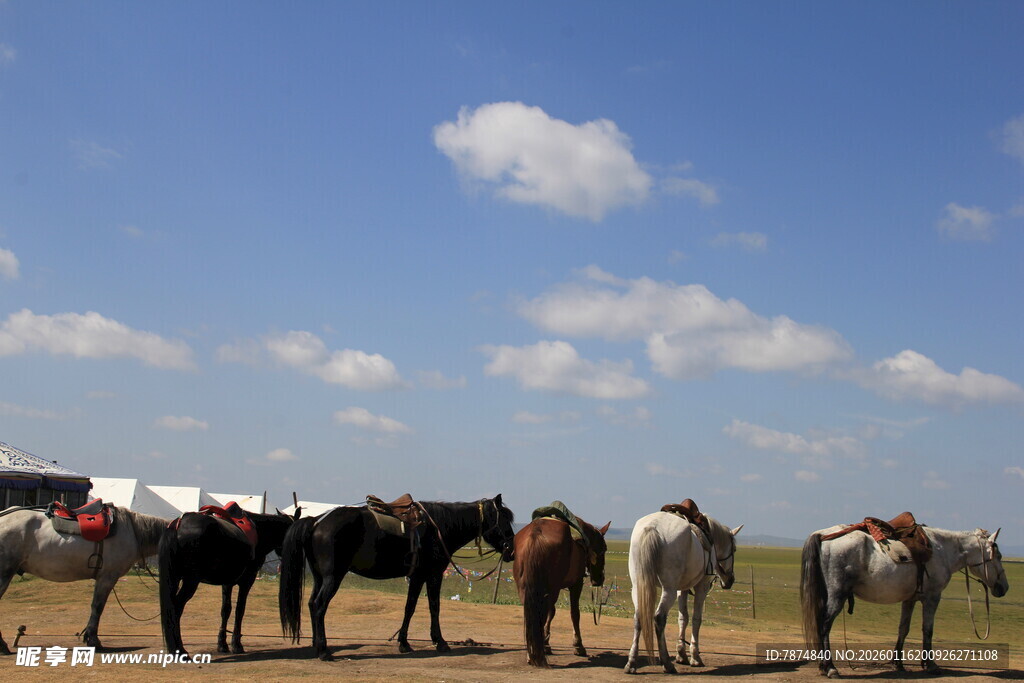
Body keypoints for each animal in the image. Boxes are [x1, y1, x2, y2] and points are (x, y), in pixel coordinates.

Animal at [158, 509, 297, 656]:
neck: (259, 531)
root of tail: (178, 525)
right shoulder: (247, 580)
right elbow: (239, 610)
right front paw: (236, 644)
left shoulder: (227, 582)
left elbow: (226, 610)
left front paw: (222, 644)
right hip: (191, 580)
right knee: (176, 608)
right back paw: (179, 650)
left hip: (174, 578)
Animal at [279, 494, 515, 661]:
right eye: (504, 519)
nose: (511, 551)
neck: (439, 528)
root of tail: (316, 522)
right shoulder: (432, 574)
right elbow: (433, 607)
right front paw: (440, 642)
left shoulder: (417, 576)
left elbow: (409, 607)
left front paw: (404, 643)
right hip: (332, 577)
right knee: (319, 606)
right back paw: (324, 651)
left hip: (319, 577)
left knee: (311, 604)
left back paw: (316, 645)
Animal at [513, 515, 611, 667]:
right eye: (604, 549)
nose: (600, 579)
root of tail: (536, 534)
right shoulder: (576, 584)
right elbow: (574, 613)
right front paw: (578, 646)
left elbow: (551, 613)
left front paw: (546, 643)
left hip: (527, 588)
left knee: (531, 614)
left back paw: (532, 652)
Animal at [623, 510, 742, 674]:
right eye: (734, 549)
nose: (730, 580)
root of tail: (652, 527)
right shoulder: (702, 587)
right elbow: (696, 619)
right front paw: (695, 657)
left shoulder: (682, 588)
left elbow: (683, 618)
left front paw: (681, 654)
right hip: (669, 589)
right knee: (659, 618)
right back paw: (667, 663)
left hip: (638, 586)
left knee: (639, 617)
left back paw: (631, 663)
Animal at [801, 524, 1009, 677]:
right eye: (998, 556)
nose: (1004, 588)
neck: (942, 550)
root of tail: (822, 534)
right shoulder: (932, 597)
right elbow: (928, 630)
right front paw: (930, 665)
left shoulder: (910, 599)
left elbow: (904, 628)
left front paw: (898, 663)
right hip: (837, 595)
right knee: (825, 626)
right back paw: (830, 668)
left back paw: (823, 666)